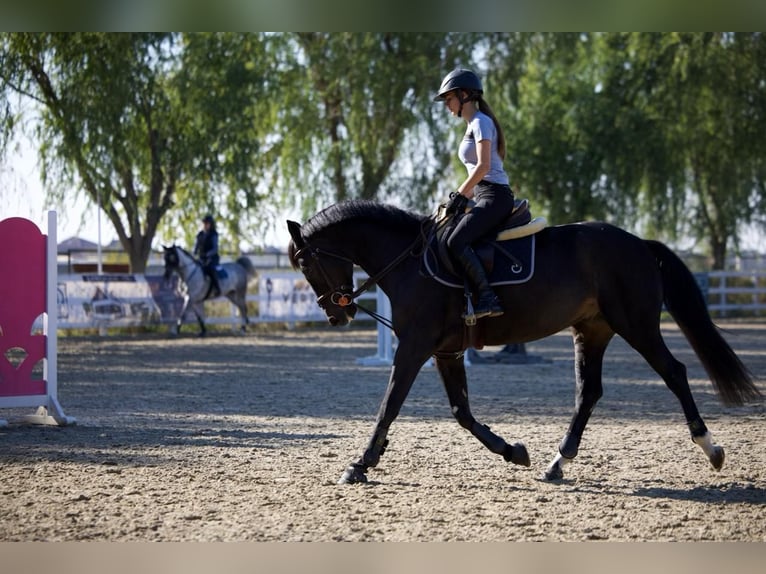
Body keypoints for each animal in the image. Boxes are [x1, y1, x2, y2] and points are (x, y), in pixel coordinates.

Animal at [286, 201, 760, 486]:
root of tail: (638, 243)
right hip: (592, 331)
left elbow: (390, 405)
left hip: (636, 325)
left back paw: (712, 448)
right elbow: (462, 413)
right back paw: (557, 463)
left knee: (674, 373)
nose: (336, 314)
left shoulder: (415, 348)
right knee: (589, 393)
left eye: (306, 263)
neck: (411, 262)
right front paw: (514, 451)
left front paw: (360, 464)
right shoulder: (445, 351)